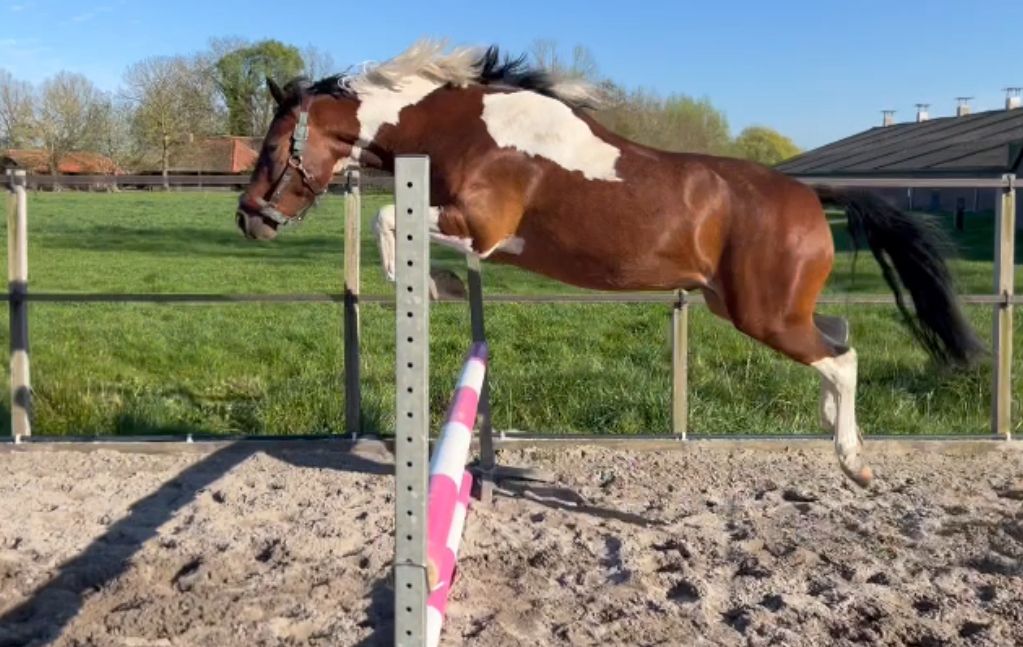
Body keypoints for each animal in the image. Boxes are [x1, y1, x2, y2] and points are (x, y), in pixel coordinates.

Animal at [235, 40, 984, 488]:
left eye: (271, 148)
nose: (248, 218)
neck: (467, 126)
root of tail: (809, 193)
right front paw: (443, 284)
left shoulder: (481, 228)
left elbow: (390, 222)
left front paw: (439, 283)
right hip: (751, 305)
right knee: (838, 336)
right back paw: (835, 430)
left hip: (762, 314)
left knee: (842, 356)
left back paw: (853, 461)